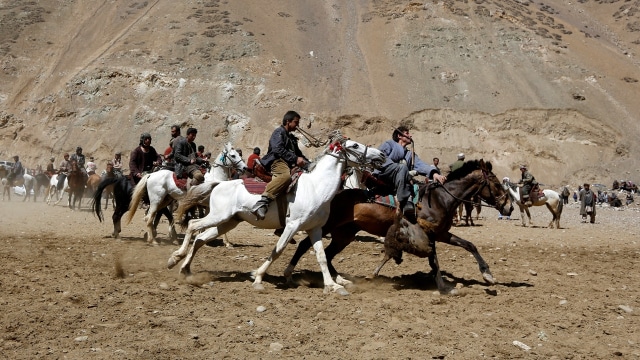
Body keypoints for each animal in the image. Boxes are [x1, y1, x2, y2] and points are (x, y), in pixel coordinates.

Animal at [166, 132, 384, 296]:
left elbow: (321, 256)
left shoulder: (315, 229)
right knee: (193, 225)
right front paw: (258, 277)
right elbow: (277, 250)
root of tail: (219, 183)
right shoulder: (292, 226)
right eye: (354, 145)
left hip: (227, 222)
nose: (381, 155)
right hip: (218, 216)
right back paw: (175, 257)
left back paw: (185, 268)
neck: (315, 188)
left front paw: (333, 285)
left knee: (200, 239)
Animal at [288, 160, 512, 292]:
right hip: (326, 227)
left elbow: (468, 245)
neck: (440, 199)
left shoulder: (441, 233)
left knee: (329, 254)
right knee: (305, 246)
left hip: (345, 234)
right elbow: (434, 259)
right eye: (497, 184)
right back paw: (290, 275)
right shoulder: (429, 234)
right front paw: (442, 286)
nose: (508, 207)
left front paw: (488, 275)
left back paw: (342, 280)